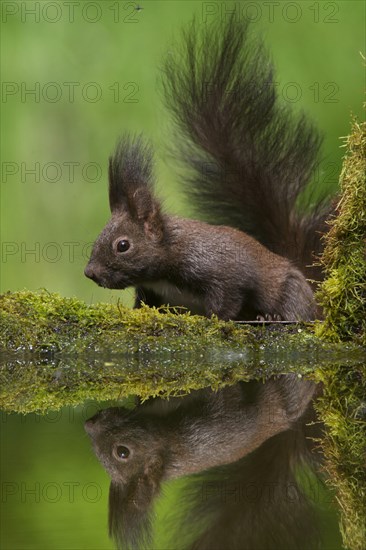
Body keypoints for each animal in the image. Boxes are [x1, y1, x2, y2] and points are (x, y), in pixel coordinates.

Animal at [84, 16, 334, 324]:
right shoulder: (151, 292)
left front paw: (215, 319)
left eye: (122, 245)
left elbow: (227, 300)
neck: (165, 266)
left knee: (295, 309)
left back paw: (273, 318)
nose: (90, 272)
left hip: (290, 290)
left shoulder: (223, 272)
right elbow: (144, 305)